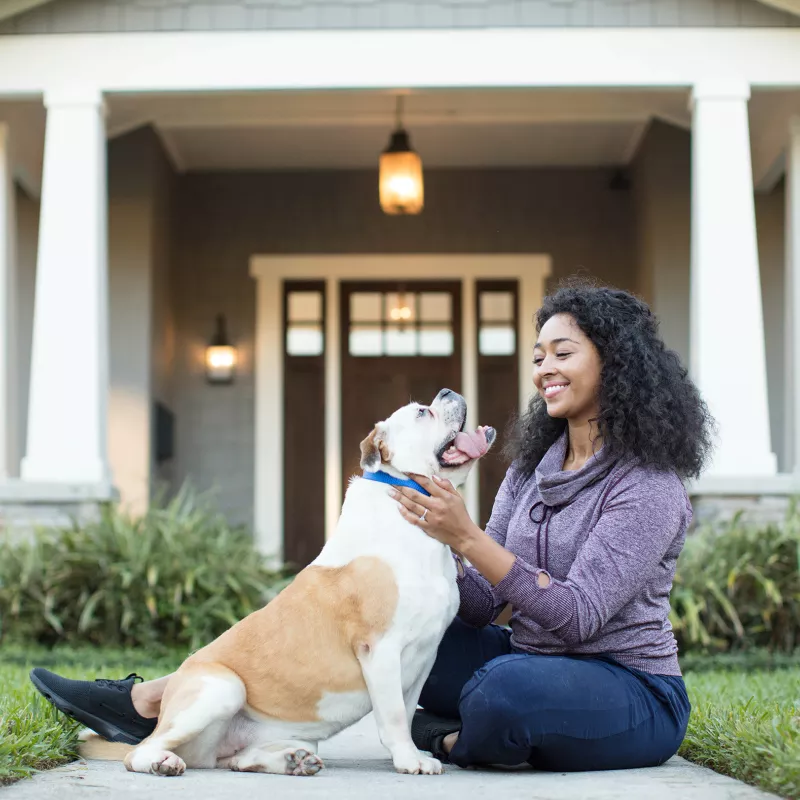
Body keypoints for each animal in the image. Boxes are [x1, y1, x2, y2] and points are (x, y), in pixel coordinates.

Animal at [83, 388, 494, 776]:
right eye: (422, 412)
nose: (446, 391)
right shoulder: (381, 648)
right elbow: (393, 716)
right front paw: (409, 759)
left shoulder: (424, 655)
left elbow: (406, 712)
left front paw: (409, 754)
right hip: (222, 688)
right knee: (142, 749)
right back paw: (162, 762)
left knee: (236, 760)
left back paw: (292, 761)